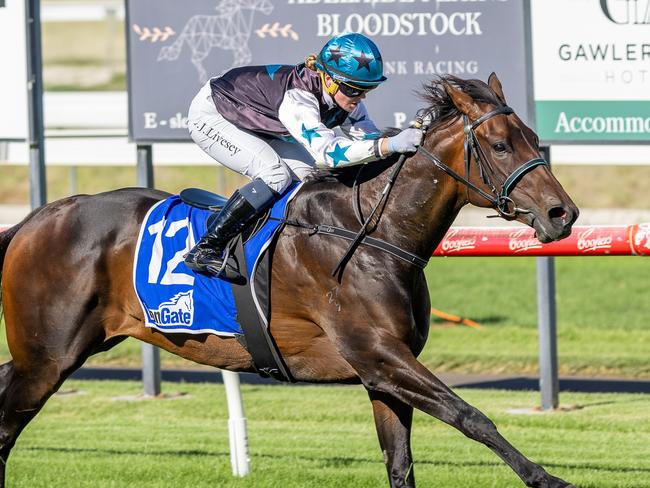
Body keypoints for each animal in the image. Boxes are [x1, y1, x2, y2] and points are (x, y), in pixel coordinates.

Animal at [0, 73, 576, 488]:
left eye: (534, 138)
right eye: (500, 146)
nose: (562, 214)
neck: (373, 234)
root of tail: (38, 217)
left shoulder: (382, 374)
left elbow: (401, 464)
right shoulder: (379, 355)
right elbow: (471, 415)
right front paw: (546, 478)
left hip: (55, 351)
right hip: (48, 357)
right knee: (7, 426)